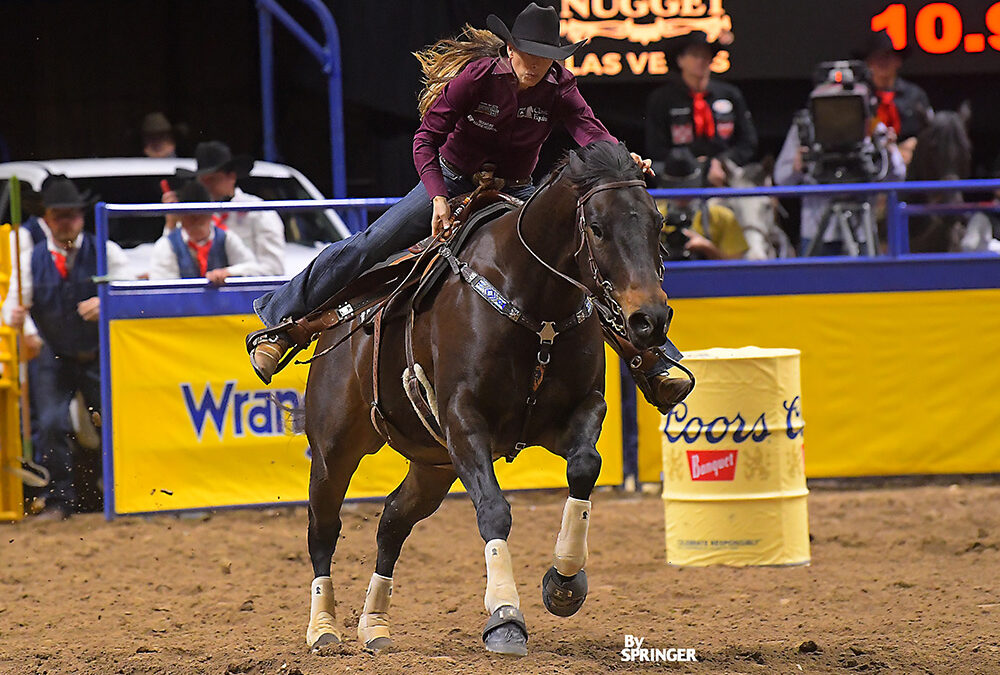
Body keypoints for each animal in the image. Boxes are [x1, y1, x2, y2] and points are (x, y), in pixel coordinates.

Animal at [298, 141, 672, 656]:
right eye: (596, 228)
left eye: (657, 223)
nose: (650, 320)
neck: (537, 307)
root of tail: (339, 321)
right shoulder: (464, 421)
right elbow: (494, 510)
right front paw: (505, 616)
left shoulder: (581, 410)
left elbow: (585, 466)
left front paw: (564, 583)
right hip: (335, 450)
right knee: (323, 528)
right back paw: (324, 628)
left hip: (433, 465)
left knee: (392, 521)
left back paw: (374, 626)